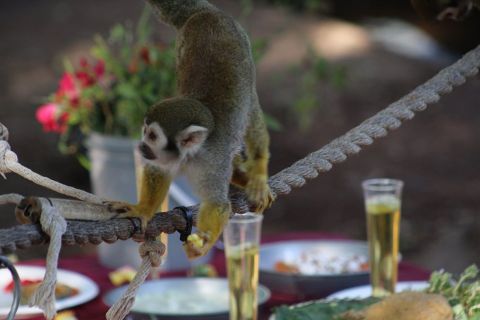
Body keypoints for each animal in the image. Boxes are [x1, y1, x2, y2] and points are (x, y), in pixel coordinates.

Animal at [106, 0, 272, 258]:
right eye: (144, 131)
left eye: (152, 135)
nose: (141, 146)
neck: (187, 156)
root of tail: (207, 12)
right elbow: (157, 171)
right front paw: (143, 208)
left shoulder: (212, 163)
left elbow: (217, 204)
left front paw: (201, 245)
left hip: (245, 49)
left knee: (251, 113)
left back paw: (258, 171)